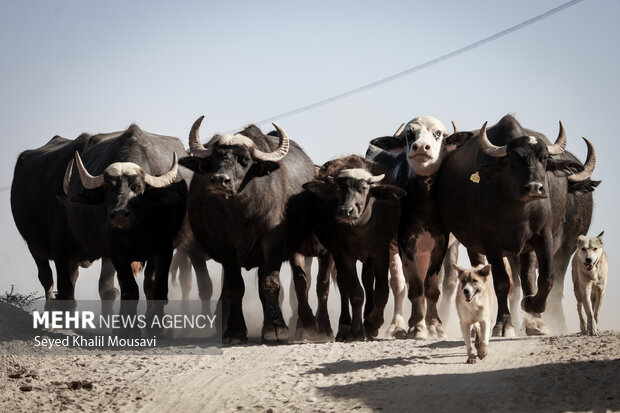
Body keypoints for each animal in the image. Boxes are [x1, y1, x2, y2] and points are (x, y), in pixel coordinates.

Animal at [62, 123, 194, 312]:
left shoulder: (163, 248)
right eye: (108, 188)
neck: (137, 229)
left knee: (150, 283)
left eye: (138, 187)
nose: (119, 215)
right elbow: (129, 290)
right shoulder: (116, 251)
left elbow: (159, 289)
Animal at [178, 115, 314, 342]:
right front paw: (235, 330)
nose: (220, 180)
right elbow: (235, 287)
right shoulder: (224, 247)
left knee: (300, 280)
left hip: (295, 249)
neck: (241, 214)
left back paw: (307, 325)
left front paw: (276, 328)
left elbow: (271, 282)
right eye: (214, 159)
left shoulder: (272, 241)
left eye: (244, 160)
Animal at [302, 153, 406, 340]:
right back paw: (345, 326)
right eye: (338, 188)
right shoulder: (344, 255)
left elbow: (381, 290)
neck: (360, 228)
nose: (346, 211)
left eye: (363, 188)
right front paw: (357, 330)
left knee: (367, 280)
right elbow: (356, 292)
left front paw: (372, 323)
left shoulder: (380, 252)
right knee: (344, 286)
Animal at [436, 112, 588, 334]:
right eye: (514, 158)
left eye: (544, 158)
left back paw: (534, 319)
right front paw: (504, 323)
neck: (517, 211)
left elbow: (546, 278)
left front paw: (533, 307)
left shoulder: (542, 236)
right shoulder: (490, 243)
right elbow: (501, 283)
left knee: (528, 277)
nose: (534, 188)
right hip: (473, 245)